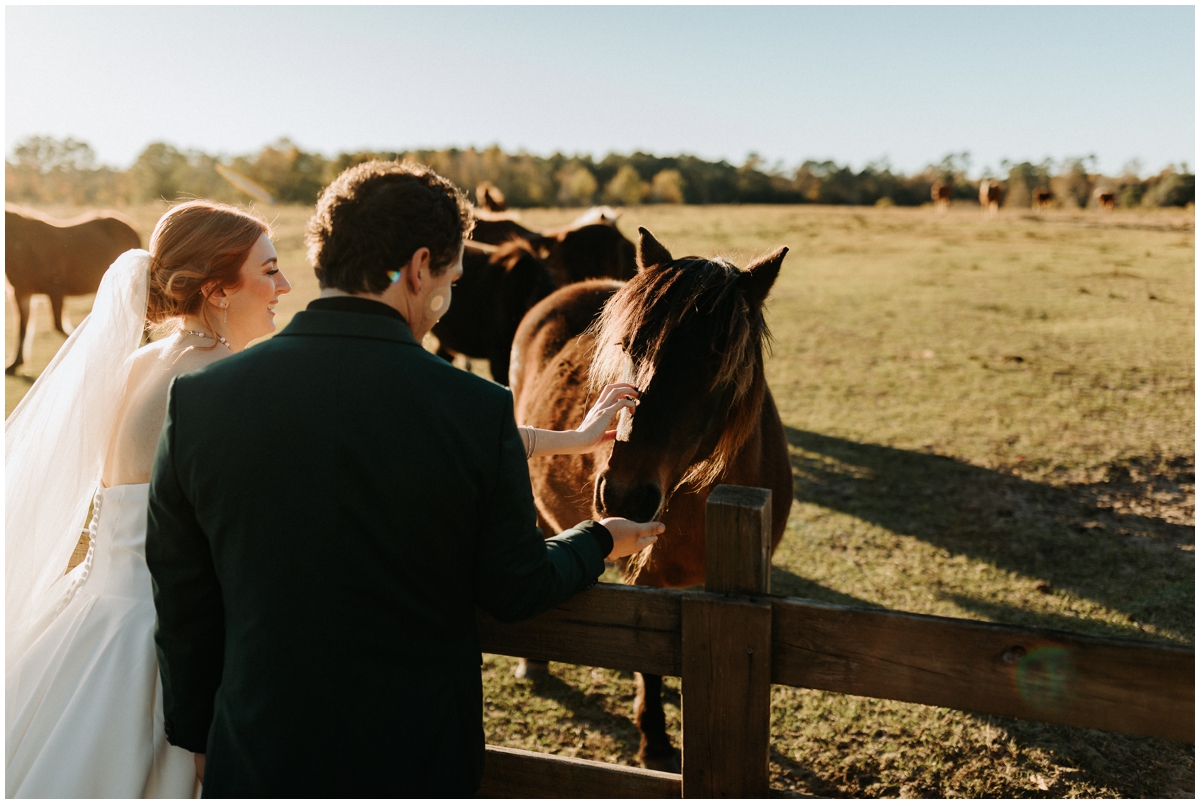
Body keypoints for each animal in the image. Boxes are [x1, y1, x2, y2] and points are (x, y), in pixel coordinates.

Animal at [5, 205, 140, 374]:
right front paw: (15, 364)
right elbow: (23, 328)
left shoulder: (55, 292)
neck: (24, 245)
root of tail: (132, 227)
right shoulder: (22, 293)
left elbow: (61, 328)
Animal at [508, 230, 796, 772]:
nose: (623, 493)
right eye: (627, 347)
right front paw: (656, 742)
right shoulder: (649, 582)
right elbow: (651, 662)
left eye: (717, 361)